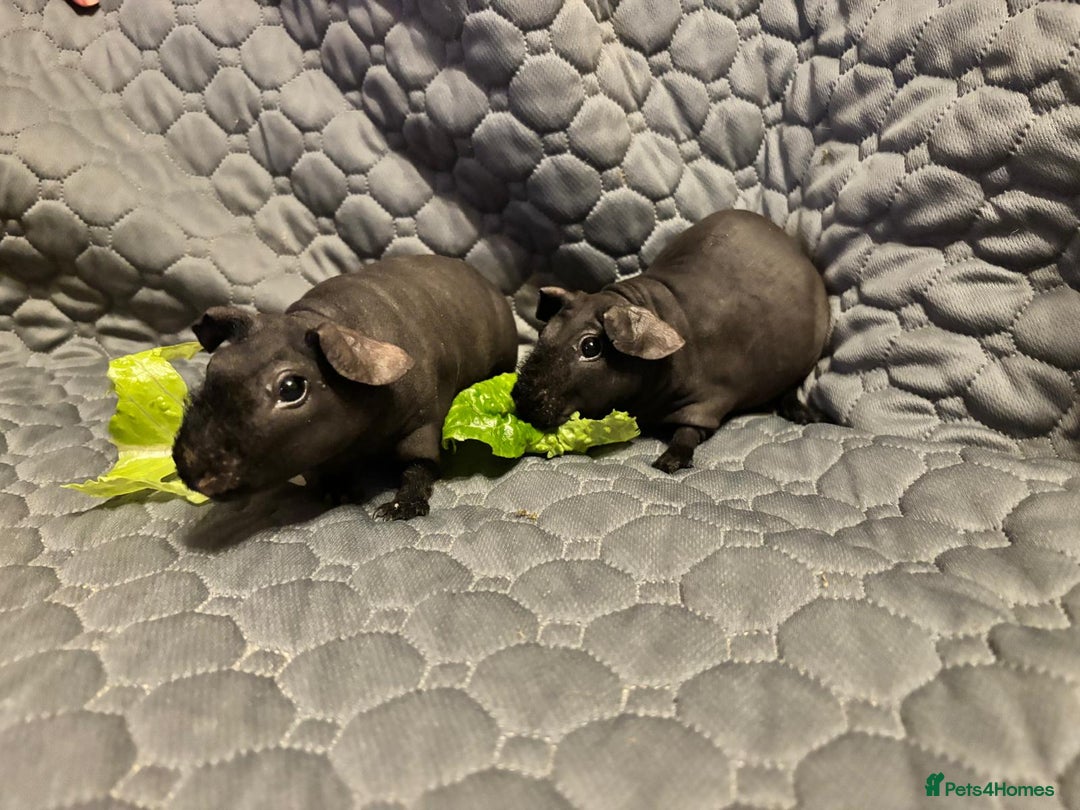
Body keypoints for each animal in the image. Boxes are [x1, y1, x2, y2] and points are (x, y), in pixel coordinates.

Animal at [173, 256, 517, 520]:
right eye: (214, 367)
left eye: (291, 388)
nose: (194, 472)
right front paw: (337, 491)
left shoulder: (423, 423)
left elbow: (419, 466)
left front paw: (397, 508)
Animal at [513, 209, 830, 473]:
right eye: (544, 332)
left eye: (590, 347)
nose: (521, 398)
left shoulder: (705, 404)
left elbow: (687, 433)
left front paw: (668, 462)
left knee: (789, 391)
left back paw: (805, 416)